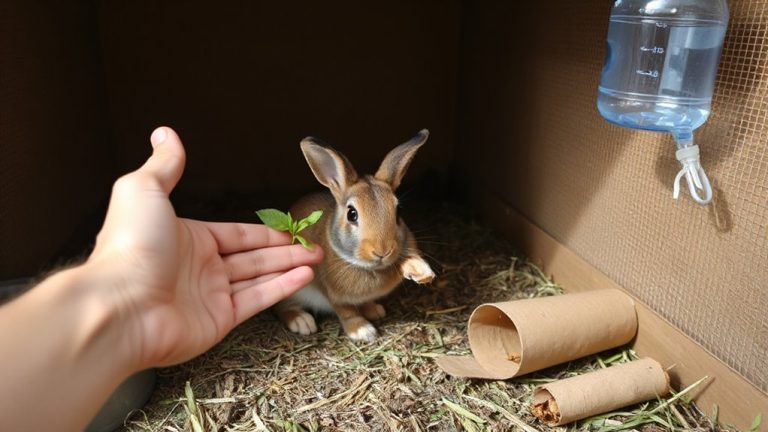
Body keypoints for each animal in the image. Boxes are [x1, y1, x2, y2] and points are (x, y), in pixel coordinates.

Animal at [274, 129, 436, 342]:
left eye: (398, 212)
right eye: (352, 214)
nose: (382, 251)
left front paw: (419, 270)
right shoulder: (333, 293)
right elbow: (347, 312)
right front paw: (362, 331)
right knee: (282, 307)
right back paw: (302, 321)